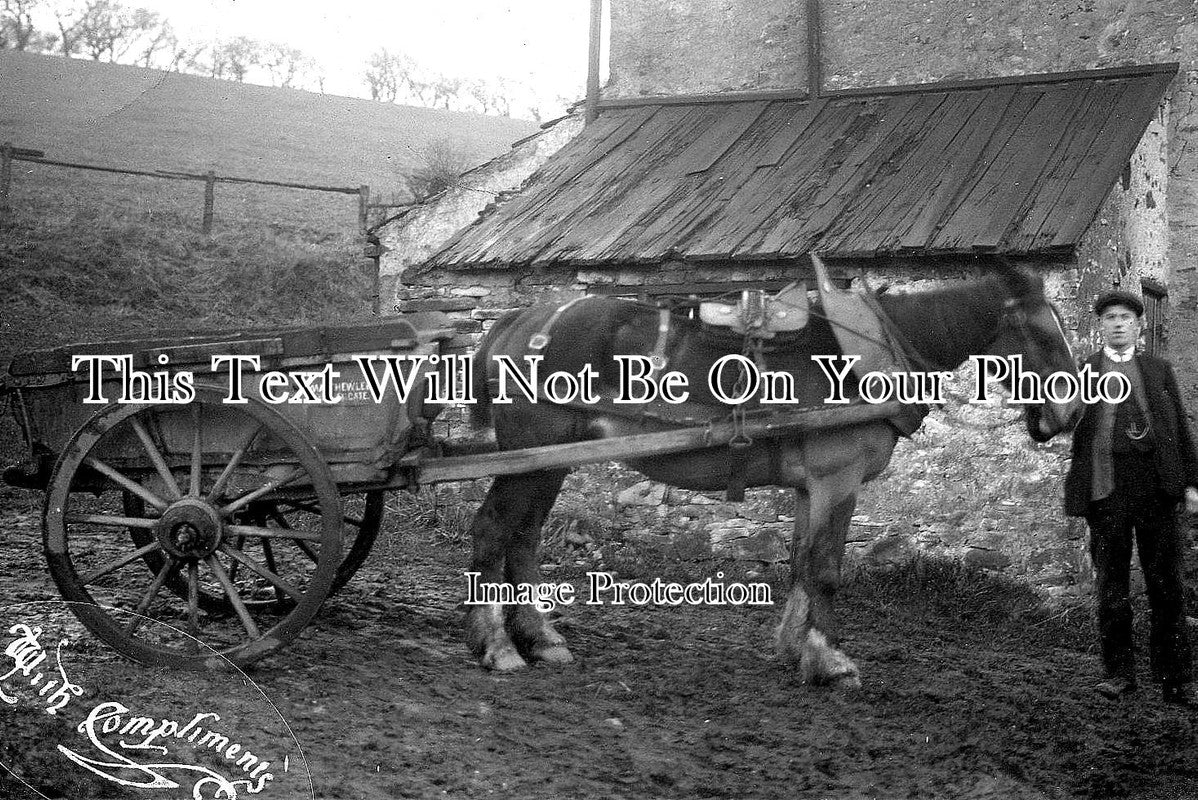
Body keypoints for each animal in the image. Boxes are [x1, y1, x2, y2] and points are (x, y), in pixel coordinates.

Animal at [461, 261, 1083, 686]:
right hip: (533, 451)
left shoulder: (813, 485)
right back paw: (498, 645)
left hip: (550, 460)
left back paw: (540, 637)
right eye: (1044, 334)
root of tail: (517, 319)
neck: (872, 353)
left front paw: (796, 649)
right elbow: (827, 569)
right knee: (494, 529)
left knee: (524, 536)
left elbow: (802, 563)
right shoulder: (838, 478)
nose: (1071, 413)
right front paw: (832, 660)